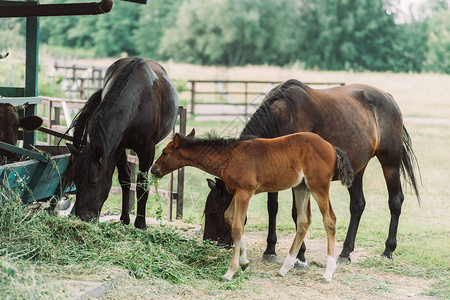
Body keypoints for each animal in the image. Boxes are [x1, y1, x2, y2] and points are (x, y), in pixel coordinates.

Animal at [64, 56, 178, 230]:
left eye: (93, 181)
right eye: (76, 181)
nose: (82, 217)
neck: (137, 100)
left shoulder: (147, 149)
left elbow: (141, 184)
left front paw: (141, 223)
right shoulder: (117, 147)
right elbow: (125, 179)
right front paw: (124, 219)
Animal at [152, 129, 356, 282]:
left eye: (165, 153)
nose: (153, 170)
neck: (231, 156)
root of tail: (331, 147)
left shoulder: (244, 192)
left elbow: (237, 226)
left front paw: (230, 271)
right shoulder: (236, 192)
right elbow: (230, 218)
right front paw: (244, 261)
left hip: (318, 187)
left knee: (329, 220)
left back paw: (328, 272)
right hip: (301, 187)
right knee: (304, 222)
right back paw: (284, 268)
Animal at [202, 78, 420, 264]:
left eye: (214, 212)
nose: (208, 242)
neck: (280, 120)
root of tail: (388, 98)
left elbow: (296, 214)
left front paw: (300, 255)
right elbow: (273, 207)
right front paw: (270, 250)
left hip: (390, 164)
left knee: (395, 201)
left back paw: (388, 250)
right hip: (357, 168)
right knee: (357, 205)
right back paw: (345, 252)